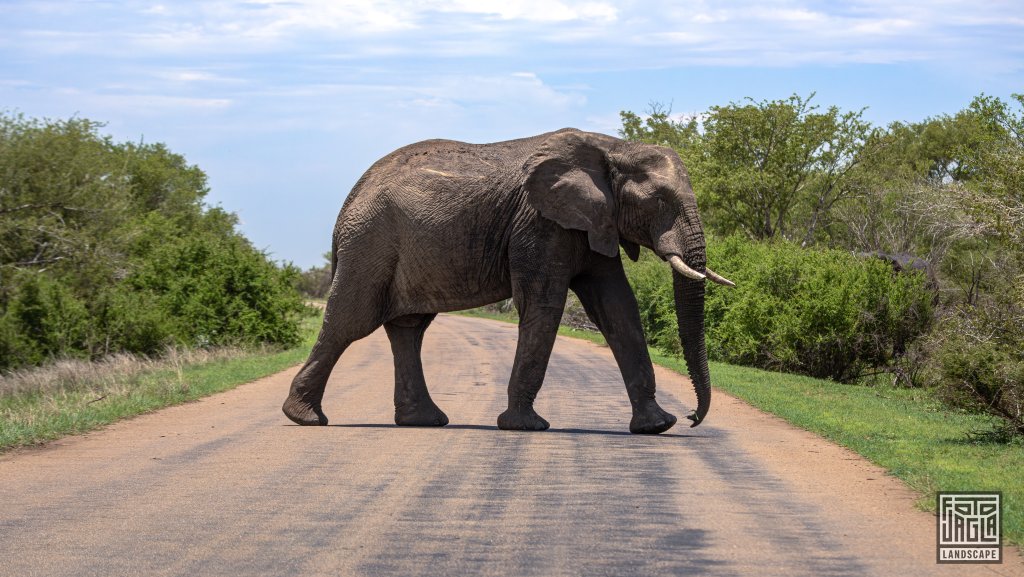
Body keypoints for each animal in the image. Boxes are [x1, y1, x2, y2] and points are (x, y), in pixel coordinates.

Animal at [286, 127, 737, 434]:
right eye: (660, 200)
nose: (693, 417)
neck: (613, 147)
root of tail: (350, 198)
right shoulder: (539, 222)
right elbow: (544, 303)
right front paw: (526, 426)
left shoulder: (592, 221)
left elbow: (618, 307)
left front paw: (657, 426)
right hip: (370, 242)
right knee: (351, 321)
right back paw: (305, 417)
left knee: (408, 328)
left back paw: (423, 421)